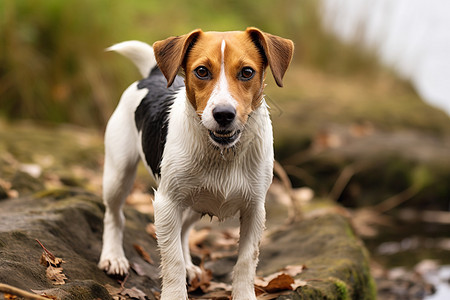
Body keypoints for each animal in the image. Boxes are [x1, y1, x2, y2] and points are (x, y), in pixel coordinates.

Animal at [98, 28, 294, 300]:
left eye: (247, 72)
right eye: (201, 71)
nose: (223, 114)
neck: (222, 153)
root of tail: (153, 75)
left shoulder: (255, 209)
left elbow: (246, 261)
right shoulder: (166, 203)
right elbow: (172, 261)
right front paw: (175, 293)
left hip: (196, 203)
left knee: (183, 231)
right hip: (119, 174)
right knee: (114, 215)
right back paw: (113, 257)